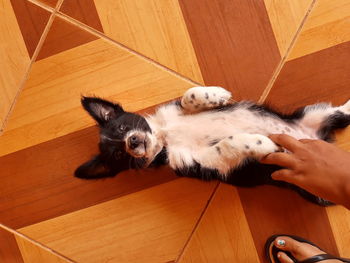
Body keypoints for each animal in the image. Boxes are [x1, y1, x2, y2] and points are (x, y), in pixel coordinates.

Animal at [74, 86, 350, 206]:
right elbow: (227, 144)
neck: (165, 137)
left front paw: (215, 94)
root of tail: (318, 136)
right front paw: (261, 142)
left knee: (343, 113)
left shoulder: (175, 110)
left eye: (122, 127)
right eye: (119, 154)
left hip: (315, 112)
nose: (132, 142)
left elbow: (188, 96)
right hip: (315, 191)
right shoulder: (203, 163)